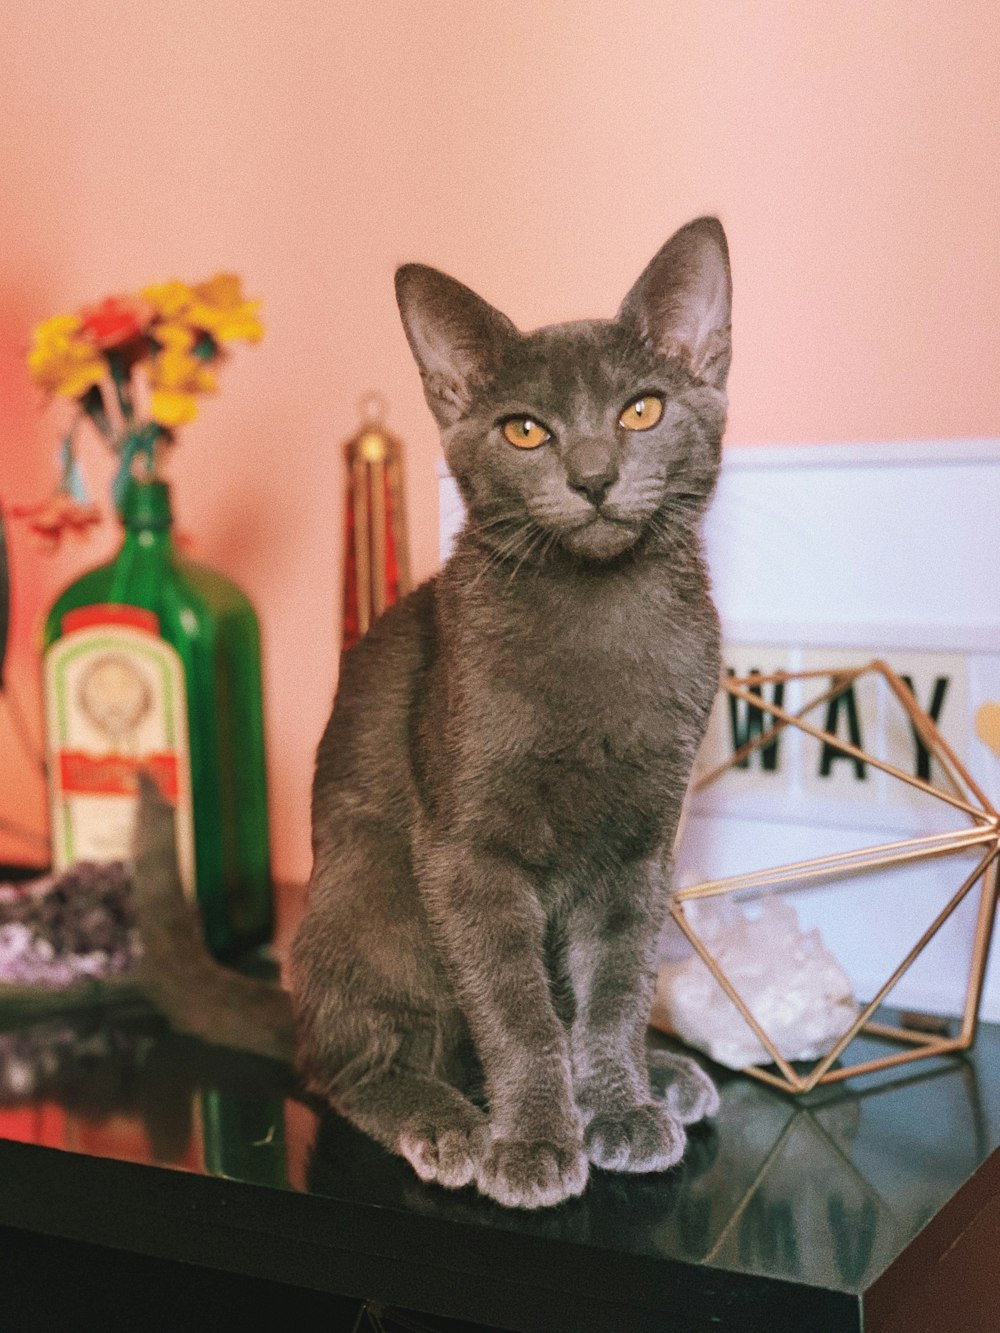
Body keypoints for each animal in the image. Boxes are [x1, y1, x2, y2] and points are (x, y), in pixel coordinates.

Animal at [285, 215, 730, 1210]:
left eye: (642, 410)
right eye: (525, 430)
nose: (595, 476)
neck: (600, 618)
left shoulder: (644, 844)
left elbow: (614, 990)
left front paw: (619, 1106)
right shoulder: (464, 849)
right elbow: (516, 1007)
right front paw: (530, 1140)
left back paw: (663, 1077)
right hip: (374, 890)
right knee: (346, 1061)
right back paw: (446, 1119)